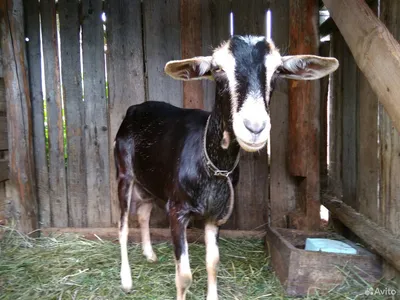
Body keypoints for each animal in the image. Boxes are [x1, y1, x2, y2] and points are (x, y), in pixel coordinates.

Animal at [114, 35, 340, 300]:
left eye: (277, 71)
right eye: (218, 69)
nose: (254, 127)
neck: (212, 166)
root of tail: (134, 109)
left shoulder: (217, 213)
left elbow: (214, 262)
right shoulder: (177, 210)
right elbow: (184, 276)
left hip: (150, 181)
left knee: (143, 213)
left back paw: (149, 254)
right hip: (124, 173)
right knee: (122, 225)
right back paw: (126, 281)